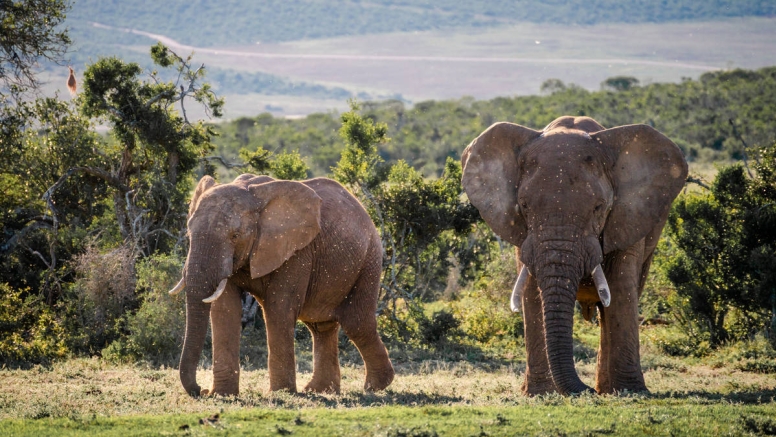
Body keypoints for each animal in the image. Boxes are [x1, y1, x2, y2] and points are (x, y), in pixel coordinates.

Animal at [173, 173, 398, 396]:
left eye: (235, 236)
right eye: (189, 234)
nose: (200, 390)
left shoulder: (296, 251)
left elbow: (279, 309)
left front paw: (281, 393)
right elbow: (225, 309)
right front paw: (222, 394)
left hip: (369, 260)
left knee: (357, 323)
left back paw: (375, 386)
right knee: (321, 326)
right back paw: (320, 390)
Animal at [460, 116, 684, 396]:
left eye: (599, 207)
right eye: (524, 206)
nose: (585, 390)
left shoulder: (629, 217)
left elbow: (620, 290)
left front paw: (631, 392)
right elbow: (532, 291)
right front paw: (540, 393)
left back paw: (606, 390)